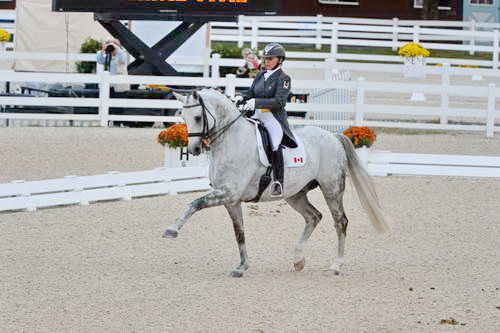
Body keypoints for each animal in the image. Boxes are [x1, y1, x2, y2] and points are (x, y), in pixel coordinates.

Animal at [164, 87, 390, 274]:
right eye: (183, 116)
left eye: (197, 116)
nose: (193, 149)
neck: (231, 140)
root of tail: (333, 136)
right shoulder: (231, 200)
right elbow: (239, 232)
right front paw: (242, 267)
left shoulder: (229, 193)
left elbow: (195, 203)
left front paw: (172, 230)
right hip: (295, 194)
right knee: (313, 217)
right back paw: (298, 260)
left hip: (332, 189)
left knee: (340, 221)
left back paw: (336, 265)